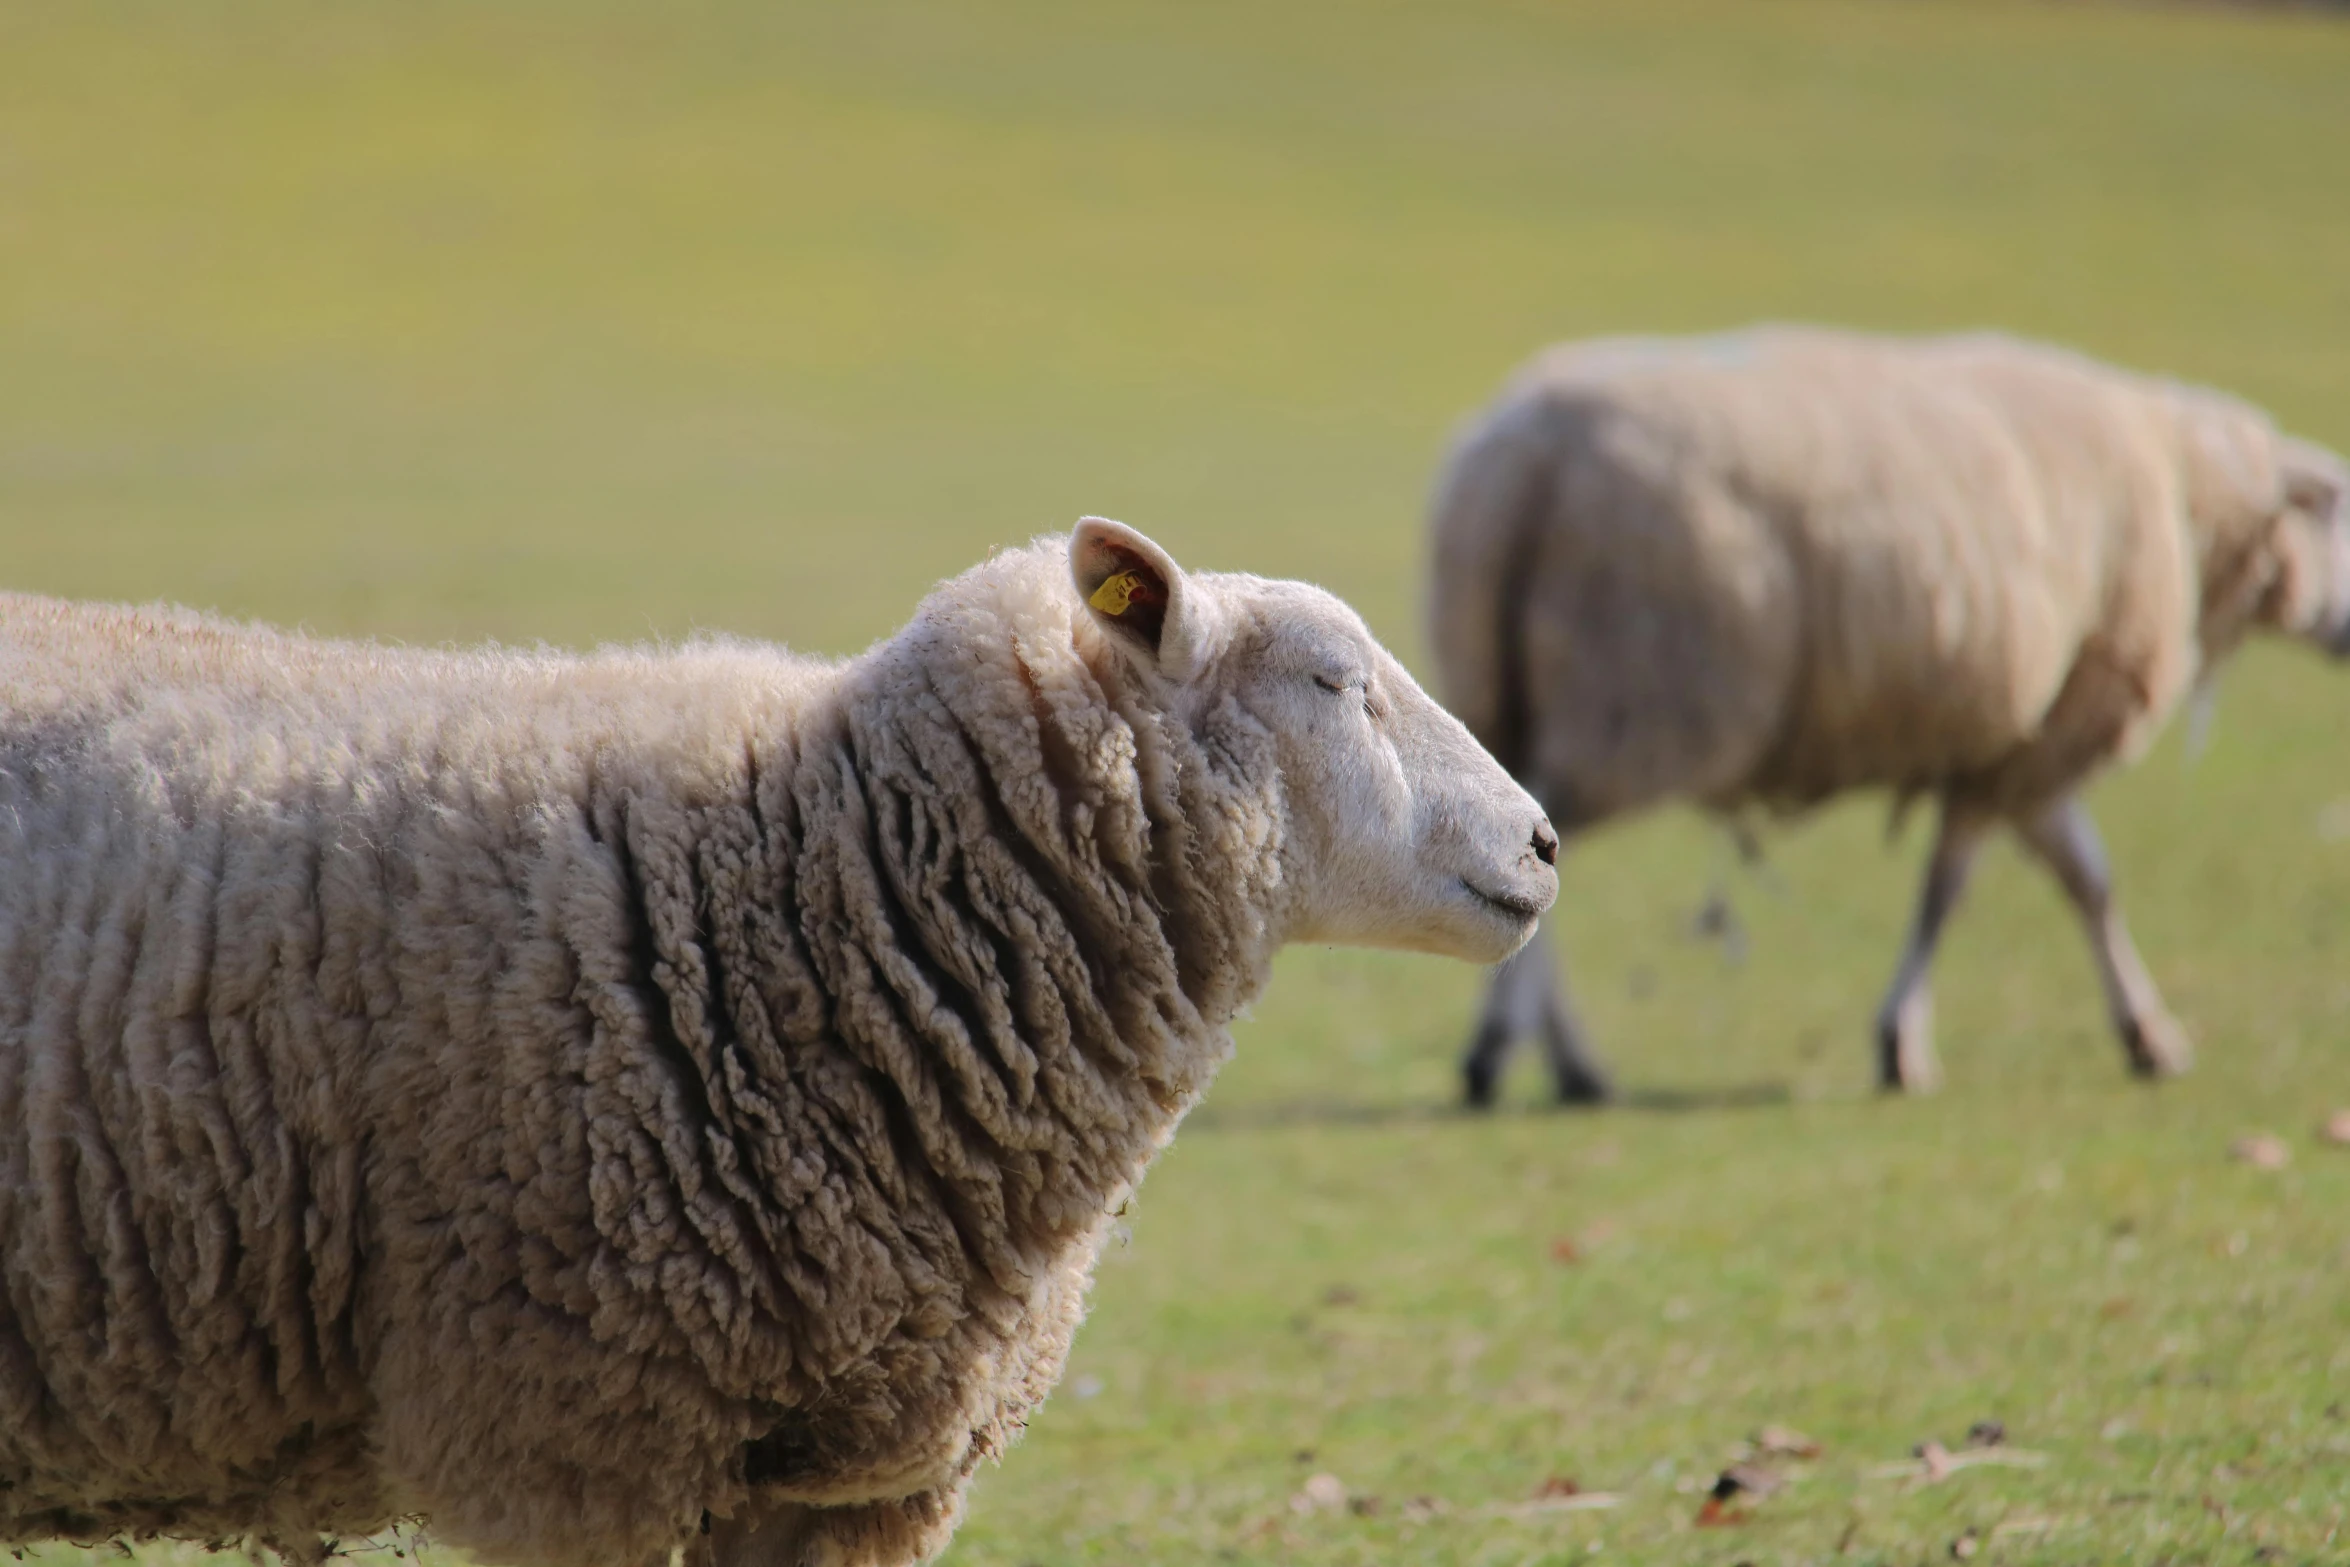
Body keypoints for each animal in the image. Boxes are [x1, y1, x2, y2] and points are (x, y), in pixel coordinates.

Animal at [1428, 328, 2350, 1108]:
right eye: (2338, 512)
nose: (2346, 634)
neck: (2191, 494)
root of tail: (1519, 464)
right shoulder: (2031, 739)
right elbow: (1959, 891)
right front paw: (1904, 1044)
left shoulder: (2012, 748)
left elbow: (2086, 882)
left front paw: (2147, 1034)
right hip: (1635, 707)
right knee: (1534, 848)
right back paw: (1519, 1054)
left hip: (1514, 696)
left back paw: (1557, 1061)